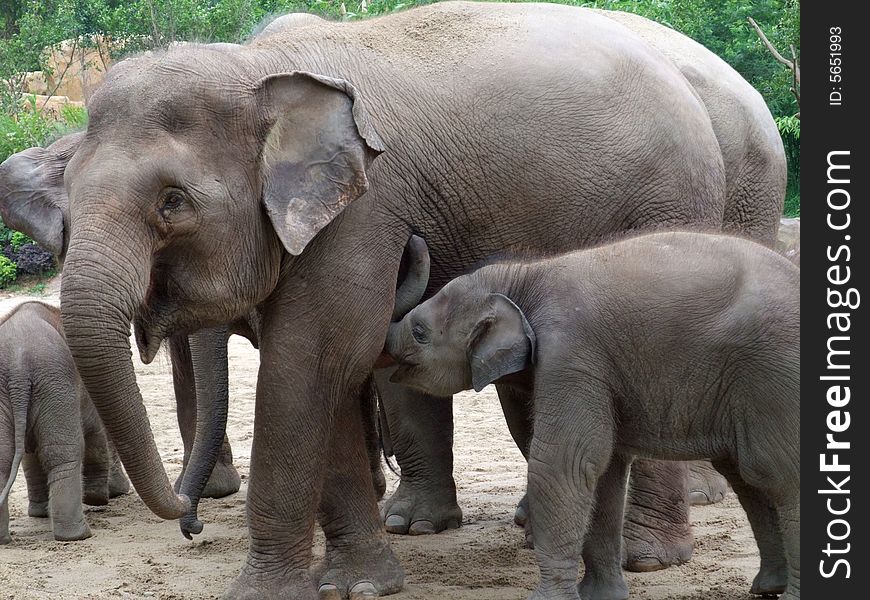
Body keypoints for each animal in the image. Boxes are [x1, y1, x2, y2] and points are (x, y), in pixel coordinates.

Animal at [0, 302, 129, 540]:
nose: (121, 492)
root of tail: (18, 369)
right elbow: (95, 435)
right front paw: (97, 498)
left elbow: (30, 456)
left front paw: (40, 513)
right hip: (55, 383)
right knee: (65, 452)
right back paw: (79, 535)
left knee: (5, 459)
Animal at [384, 232, 800, 600]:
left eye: (419, 332)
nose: (412, 239)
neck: (522, 275)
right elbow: (605, 471)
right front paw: (601, 596)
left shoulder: (572, 355)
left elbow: (566, 463)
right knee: (748, 478)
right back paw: (768, 587)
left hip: (772, 375)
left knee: (776, 473)